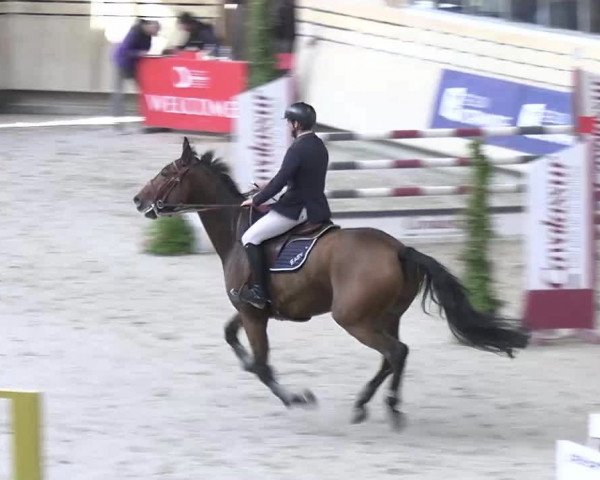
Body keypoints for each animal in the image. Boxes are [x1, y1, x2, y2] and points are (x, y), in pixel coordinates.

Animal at [132, 137, 528, 430]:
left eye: (166, 172)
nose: (138, 200)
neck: (234, 231)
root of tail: (400, 250)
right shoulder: (249, 309)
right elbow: (232, 338)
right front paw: (250, 367)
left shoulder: (253, 313)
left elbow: (262, 366)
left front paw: (297, 398)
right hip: (385, 316)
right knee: (392, 356)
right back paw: (365, 404)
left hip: (353, 319)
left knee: (395, 353)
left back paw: (389, 408)